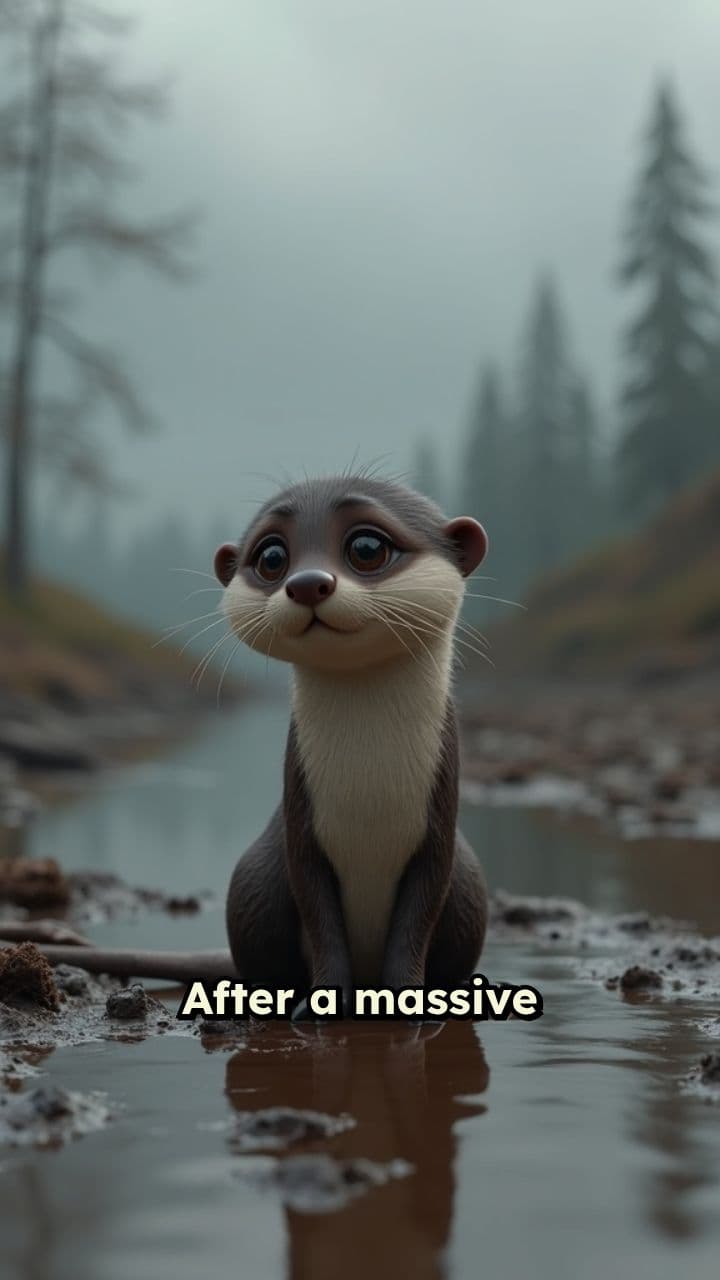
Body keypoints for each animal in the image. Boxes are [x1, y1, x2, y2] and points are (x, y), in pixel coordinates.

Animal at [214, 473, 489, 1016]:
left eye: (366, 547)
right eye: (271, 557)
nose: (307, 583)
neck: (368, 795)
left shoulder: (439, 832)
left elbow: (419, 914)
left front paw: (411, 1005)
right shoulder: (301, 829)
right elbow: (317, 913)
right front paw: (322, 1004)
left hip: (471, 887)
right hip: (253, 880)